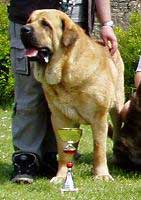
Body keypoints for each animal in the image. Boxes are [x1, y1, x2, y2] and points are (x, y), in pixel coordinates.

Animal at [20, 9, 124, 181]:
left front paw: (101, 175)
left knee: (116, 131)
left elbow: (99, 147)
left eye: (45, 24)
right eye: (29, 21)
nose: (23, 29)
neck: (65, 72)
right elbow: (63, 151)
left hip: (118, 106)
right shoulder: (59, 117)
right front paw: (62, 176)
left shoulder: (99, 116)